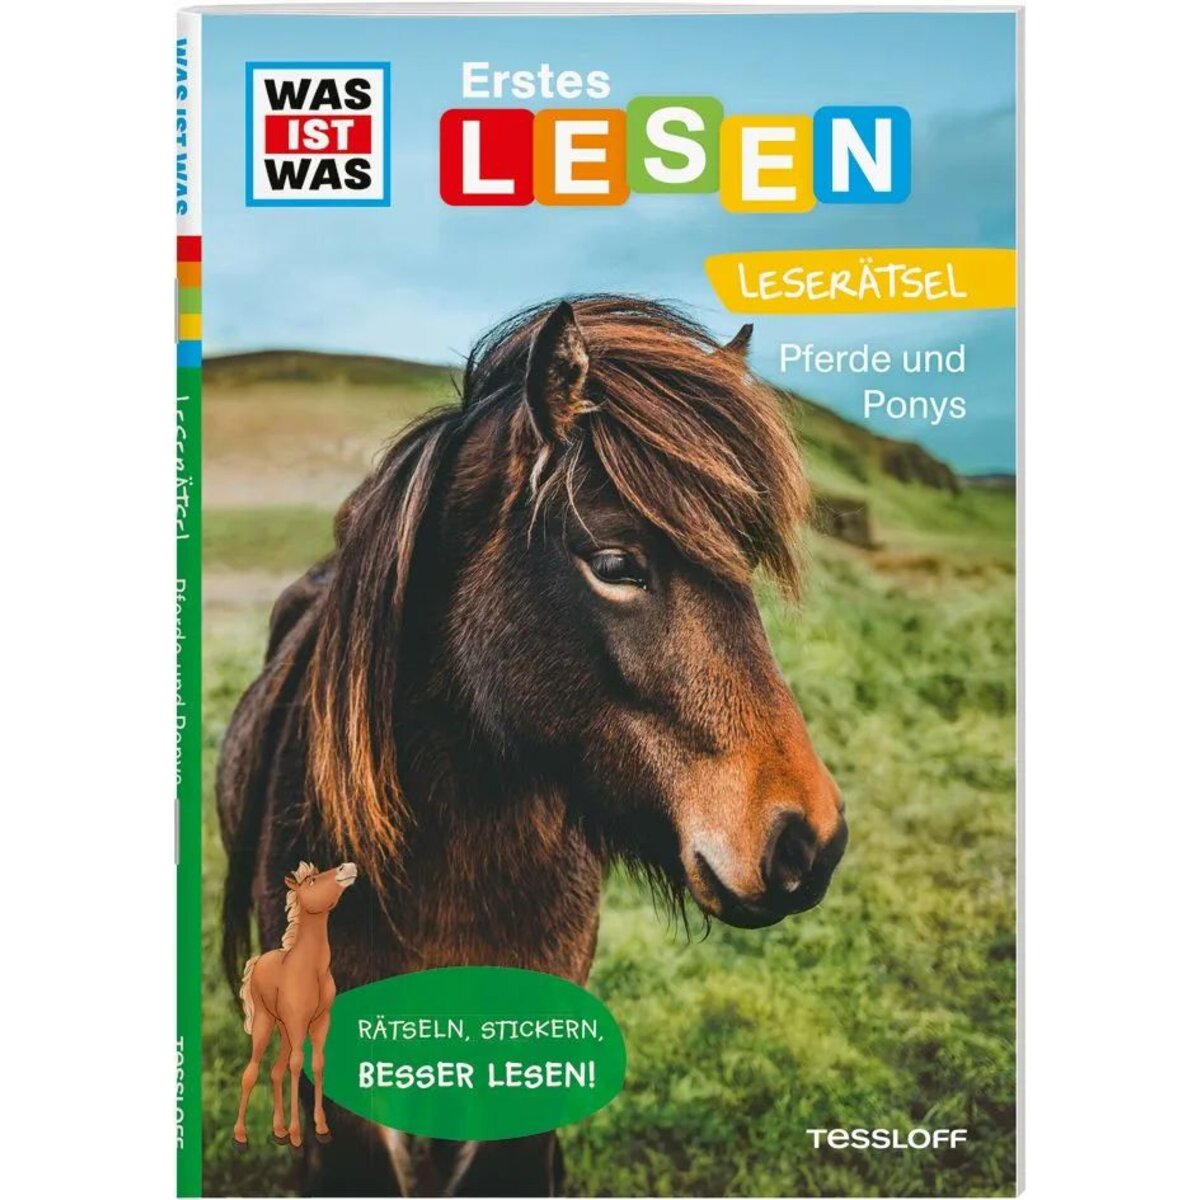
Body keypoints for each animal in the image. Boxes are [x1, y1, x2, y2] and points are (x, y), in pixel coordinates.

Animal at [233, 861, 358, 1152]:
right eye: (311, 881)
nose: (347, 867)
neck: (311, 968)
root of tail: (257, 960)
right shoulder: (298, 1023)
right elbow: (297, 1065)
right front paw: (297, 1135)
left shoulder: (321, 1022)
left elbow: (317, 1064)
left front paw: (321, 1129)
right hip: (266, 1023)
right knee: (251, 1072)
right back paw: (241, 1136)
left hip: (284, 1030)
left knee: (275, 1071)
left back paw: (278, 1132)